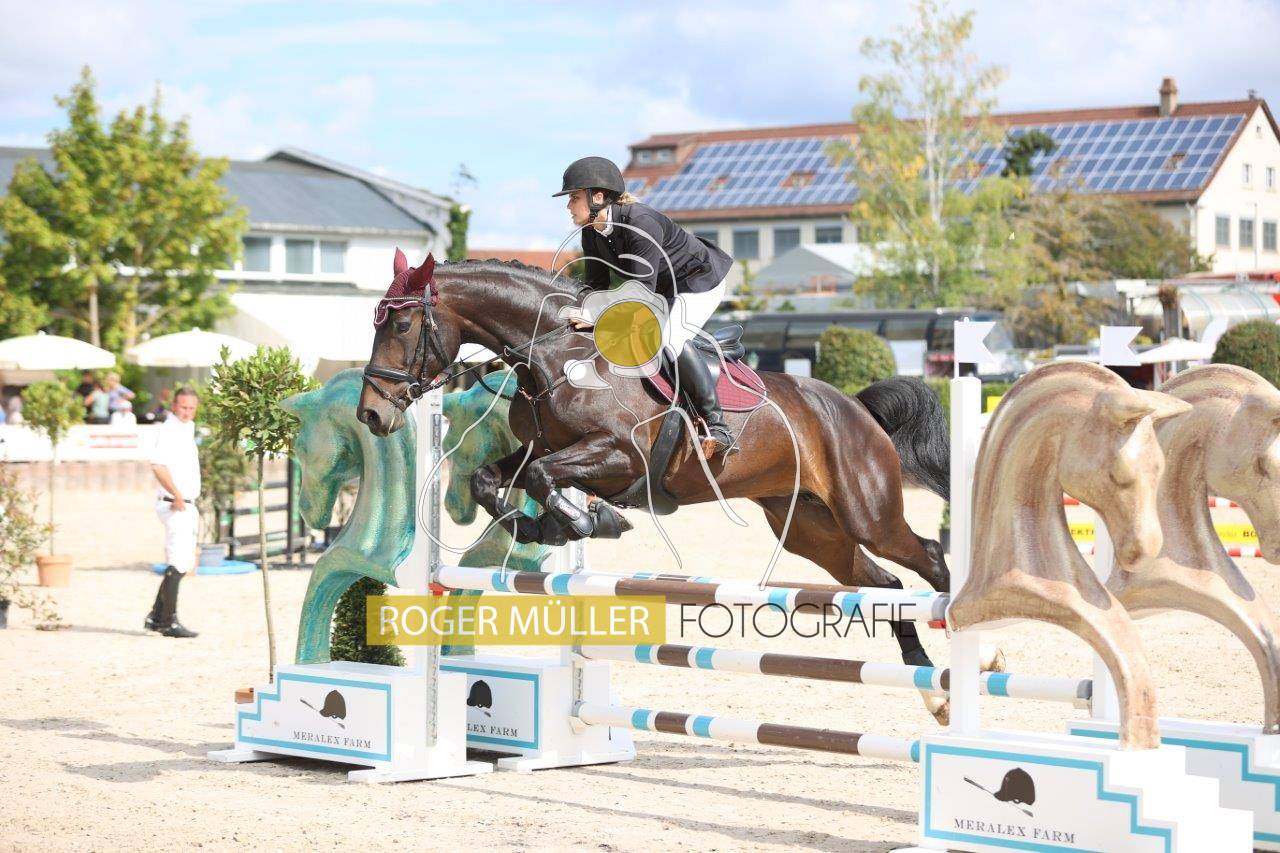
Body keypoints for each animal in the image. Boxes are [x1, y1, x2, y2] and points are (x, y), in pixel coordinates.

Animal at [357, 251, 954, 687]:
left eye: (403, 325)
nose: (372, 414)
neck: (556, 354)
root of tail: (856, 406)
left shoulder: (619, 453)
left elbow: (544, 477)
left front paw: (586, 520)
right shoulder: (540, 451)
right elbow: (492, 478)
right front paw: (545, 525)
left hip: (866, 511)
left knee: (927, 554)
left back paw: (963, 640)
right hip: (812, 527)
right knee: (885, 583)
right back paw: (921, 666)